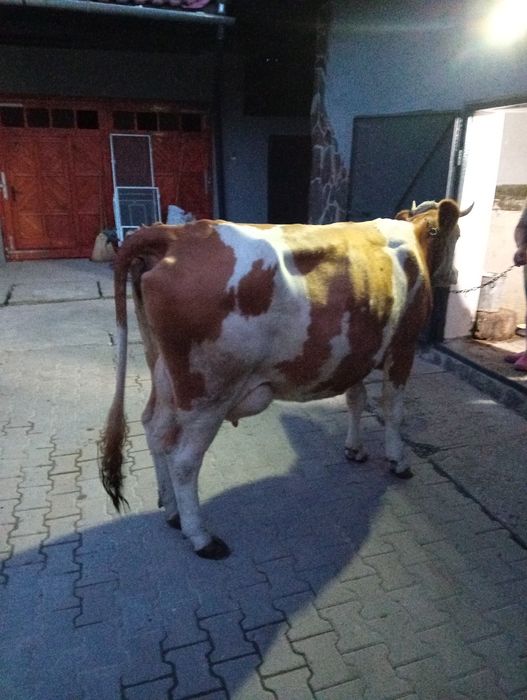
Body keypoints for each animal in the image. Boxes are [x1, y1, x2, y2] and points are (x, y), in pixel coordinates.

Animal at [100, 199, 472, 559]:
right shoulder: (403, 347)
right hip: (207, 394)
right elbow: (393, 410)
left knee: (155, 430)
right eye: (457, 235)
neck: (413, 241)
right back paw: (201, 537)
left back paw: (172, 511)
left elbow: (357, 400)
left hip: (164, 372)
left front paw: (354, 448)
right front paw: (398, 461)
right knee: (184, 461)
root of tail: (175, 234)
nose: (454, 275)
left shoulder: (355, 352)